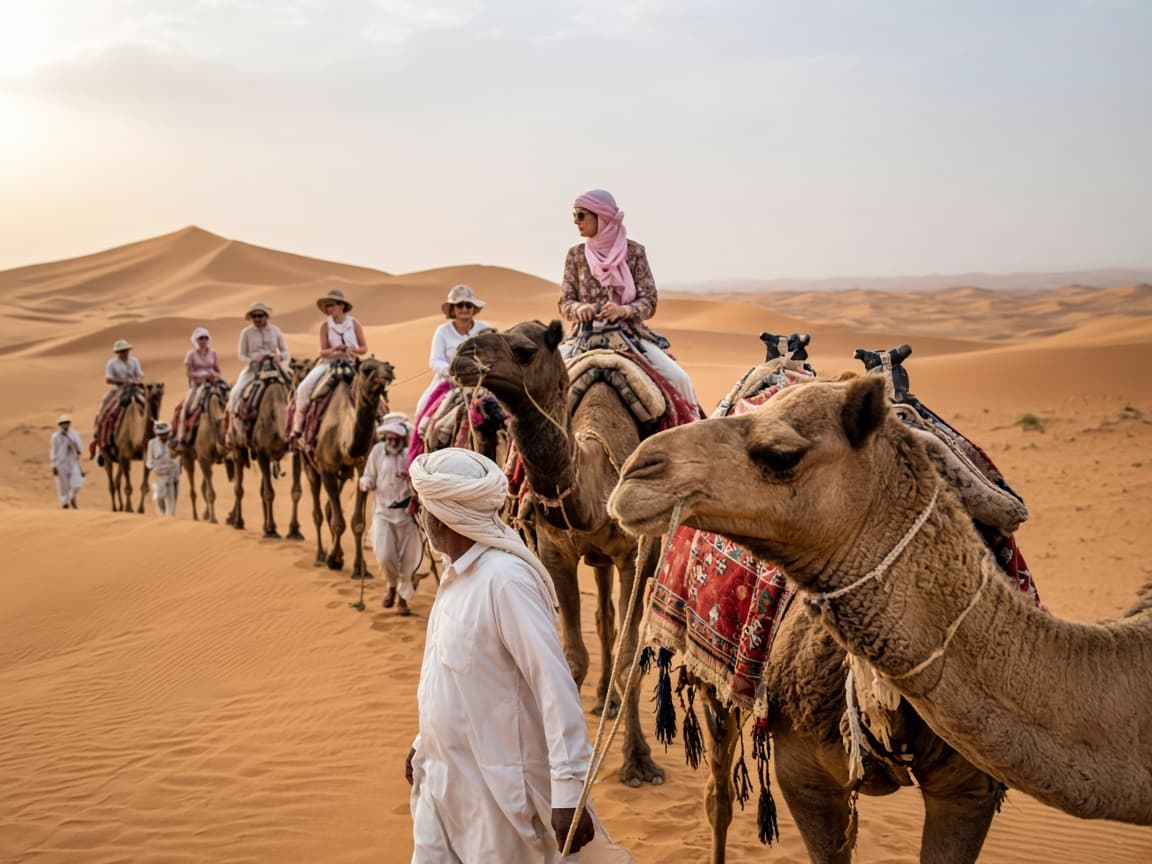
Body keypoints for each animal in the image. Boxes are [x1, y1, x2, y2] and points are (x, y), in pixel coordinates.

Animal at [98, 382, 165, 513]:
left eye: (160, 386)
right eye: (149, 387)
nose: (156, 392)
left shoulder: (145, 455)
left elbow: (144, 486)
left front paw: (140, 509)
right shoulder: (124, 455)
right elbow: (128, 487)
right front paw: (129, 508)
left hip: (120, 457)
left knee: (117, 479)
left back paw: (120, 506)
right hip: (105, 450)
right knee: (111, 479)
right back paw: (114, 508)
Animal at [179, 382, 229, 523]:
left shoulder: (208, 459)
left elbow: (207, 489)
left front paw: (209, 516)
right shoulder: (204, 458)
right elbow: (210, 493)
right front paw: (213, 519)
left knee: (202, 486)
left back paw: (203, 515)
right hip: (187, 457)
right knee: (192, 487)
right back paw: (195, 516)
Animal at [227, 359, 292, 538]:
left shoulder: (269, 455)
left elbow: (265, 492)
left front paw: (269, 527)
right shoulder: (262, 453)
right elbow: (269, 493)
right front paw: (271, 529)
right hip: (237, 445)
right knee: (238, 487)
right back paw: (238, 522)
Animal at [294, 358, 394, 576]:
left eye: (386, 364)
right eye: (366, 369)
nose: (389, 372)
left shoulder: (363, 468)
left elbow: (357, 522)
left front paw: (359, 567)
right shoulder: (326, 468)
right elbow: (338, 522)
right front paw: (332, 559)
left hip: (340, 474)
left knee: (329, 508)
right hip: (309, 463)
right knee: (318, 512)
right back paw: (320, 555)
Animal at [451, 319, 664, 787]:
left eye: (524, 350)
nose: (461, 355)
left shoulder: (635, 558)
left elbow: (628, 663)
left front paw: (639, 762)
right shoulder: (555, 554)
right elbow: (572, 658)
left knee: (610, 620)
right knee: (604, 617)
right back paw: (604, 698)